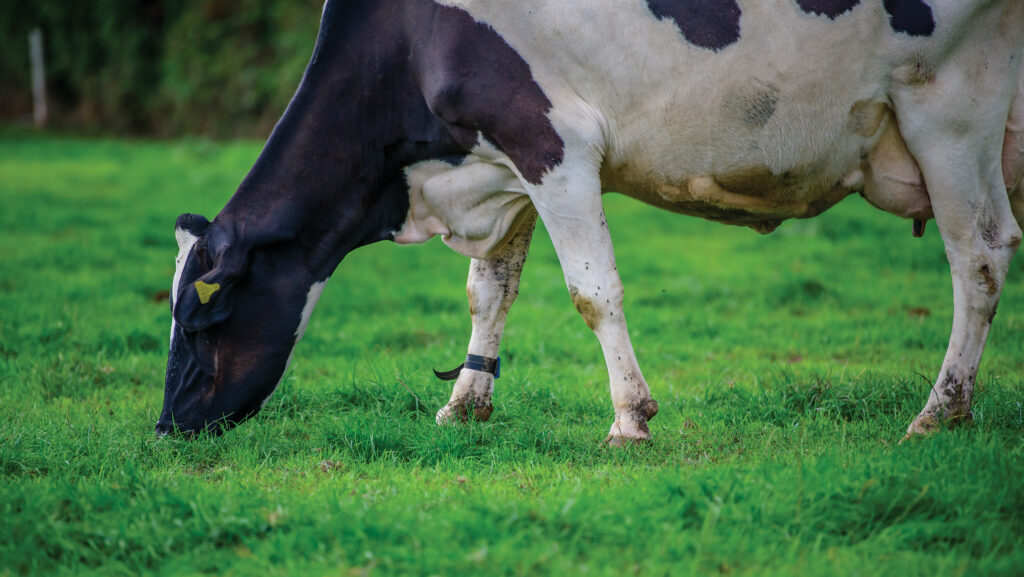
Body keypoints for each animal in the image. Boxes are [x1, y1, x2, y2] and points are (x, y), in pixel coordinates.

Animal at [157, 0, 1024, 445]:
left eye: (200, 322)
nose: (167, 427)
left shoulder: (554, 142)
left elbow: (591, 292)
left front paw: (629, 418)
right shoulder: (498, 162)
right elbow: (489, 291)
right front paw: (465, 402)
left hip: (949, 108)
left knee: (980, 254)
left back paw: (939, 411)